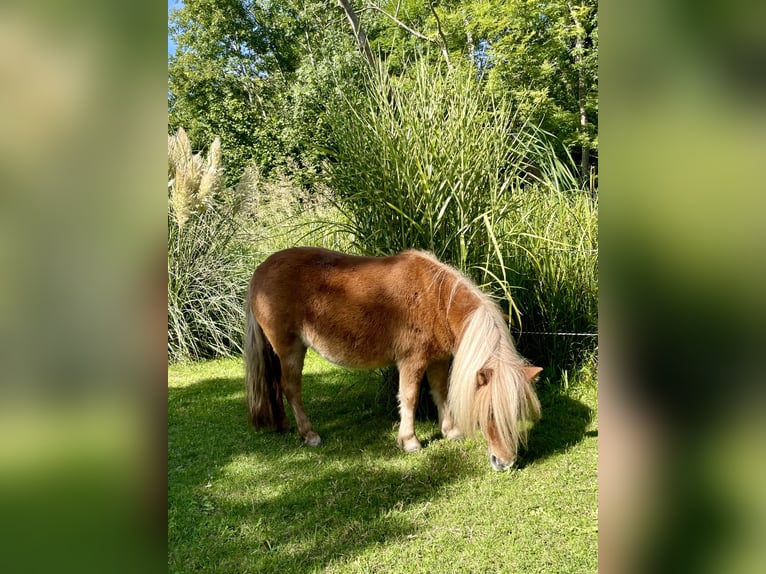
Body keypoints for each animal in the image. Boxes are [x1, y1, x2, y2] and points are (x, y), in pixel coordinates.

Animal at [243, 248, 544, 472]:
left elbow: (440, 393)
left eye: (517, 411)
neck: (435, 298)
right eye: (490, 413)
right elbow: (409, 397)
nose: (504, 463)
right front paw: (409, 441)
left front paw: (449, 431)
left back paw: (283, 425)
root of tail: (260, 270)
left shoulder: (437, 360)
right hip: (290, 349)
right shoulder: (412, 361)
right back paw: (309, 434)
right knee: (291, 388)